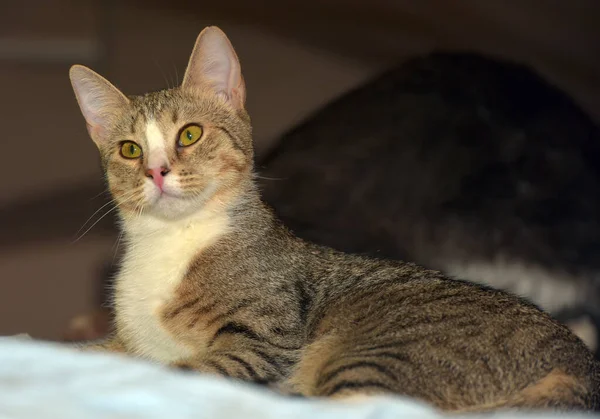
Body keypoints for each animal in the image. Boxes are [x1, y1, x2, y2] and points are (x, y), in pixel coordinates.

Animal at [68, 27, 600, 414]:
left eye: (190, 134)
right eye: (130, 149)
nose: (156, 171)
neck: (170, 242)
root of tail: (581, 366)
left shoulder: (263, 341)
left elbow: (183, 369)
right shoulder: (132, 343)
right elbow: (103, 352)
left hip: (382, 350)